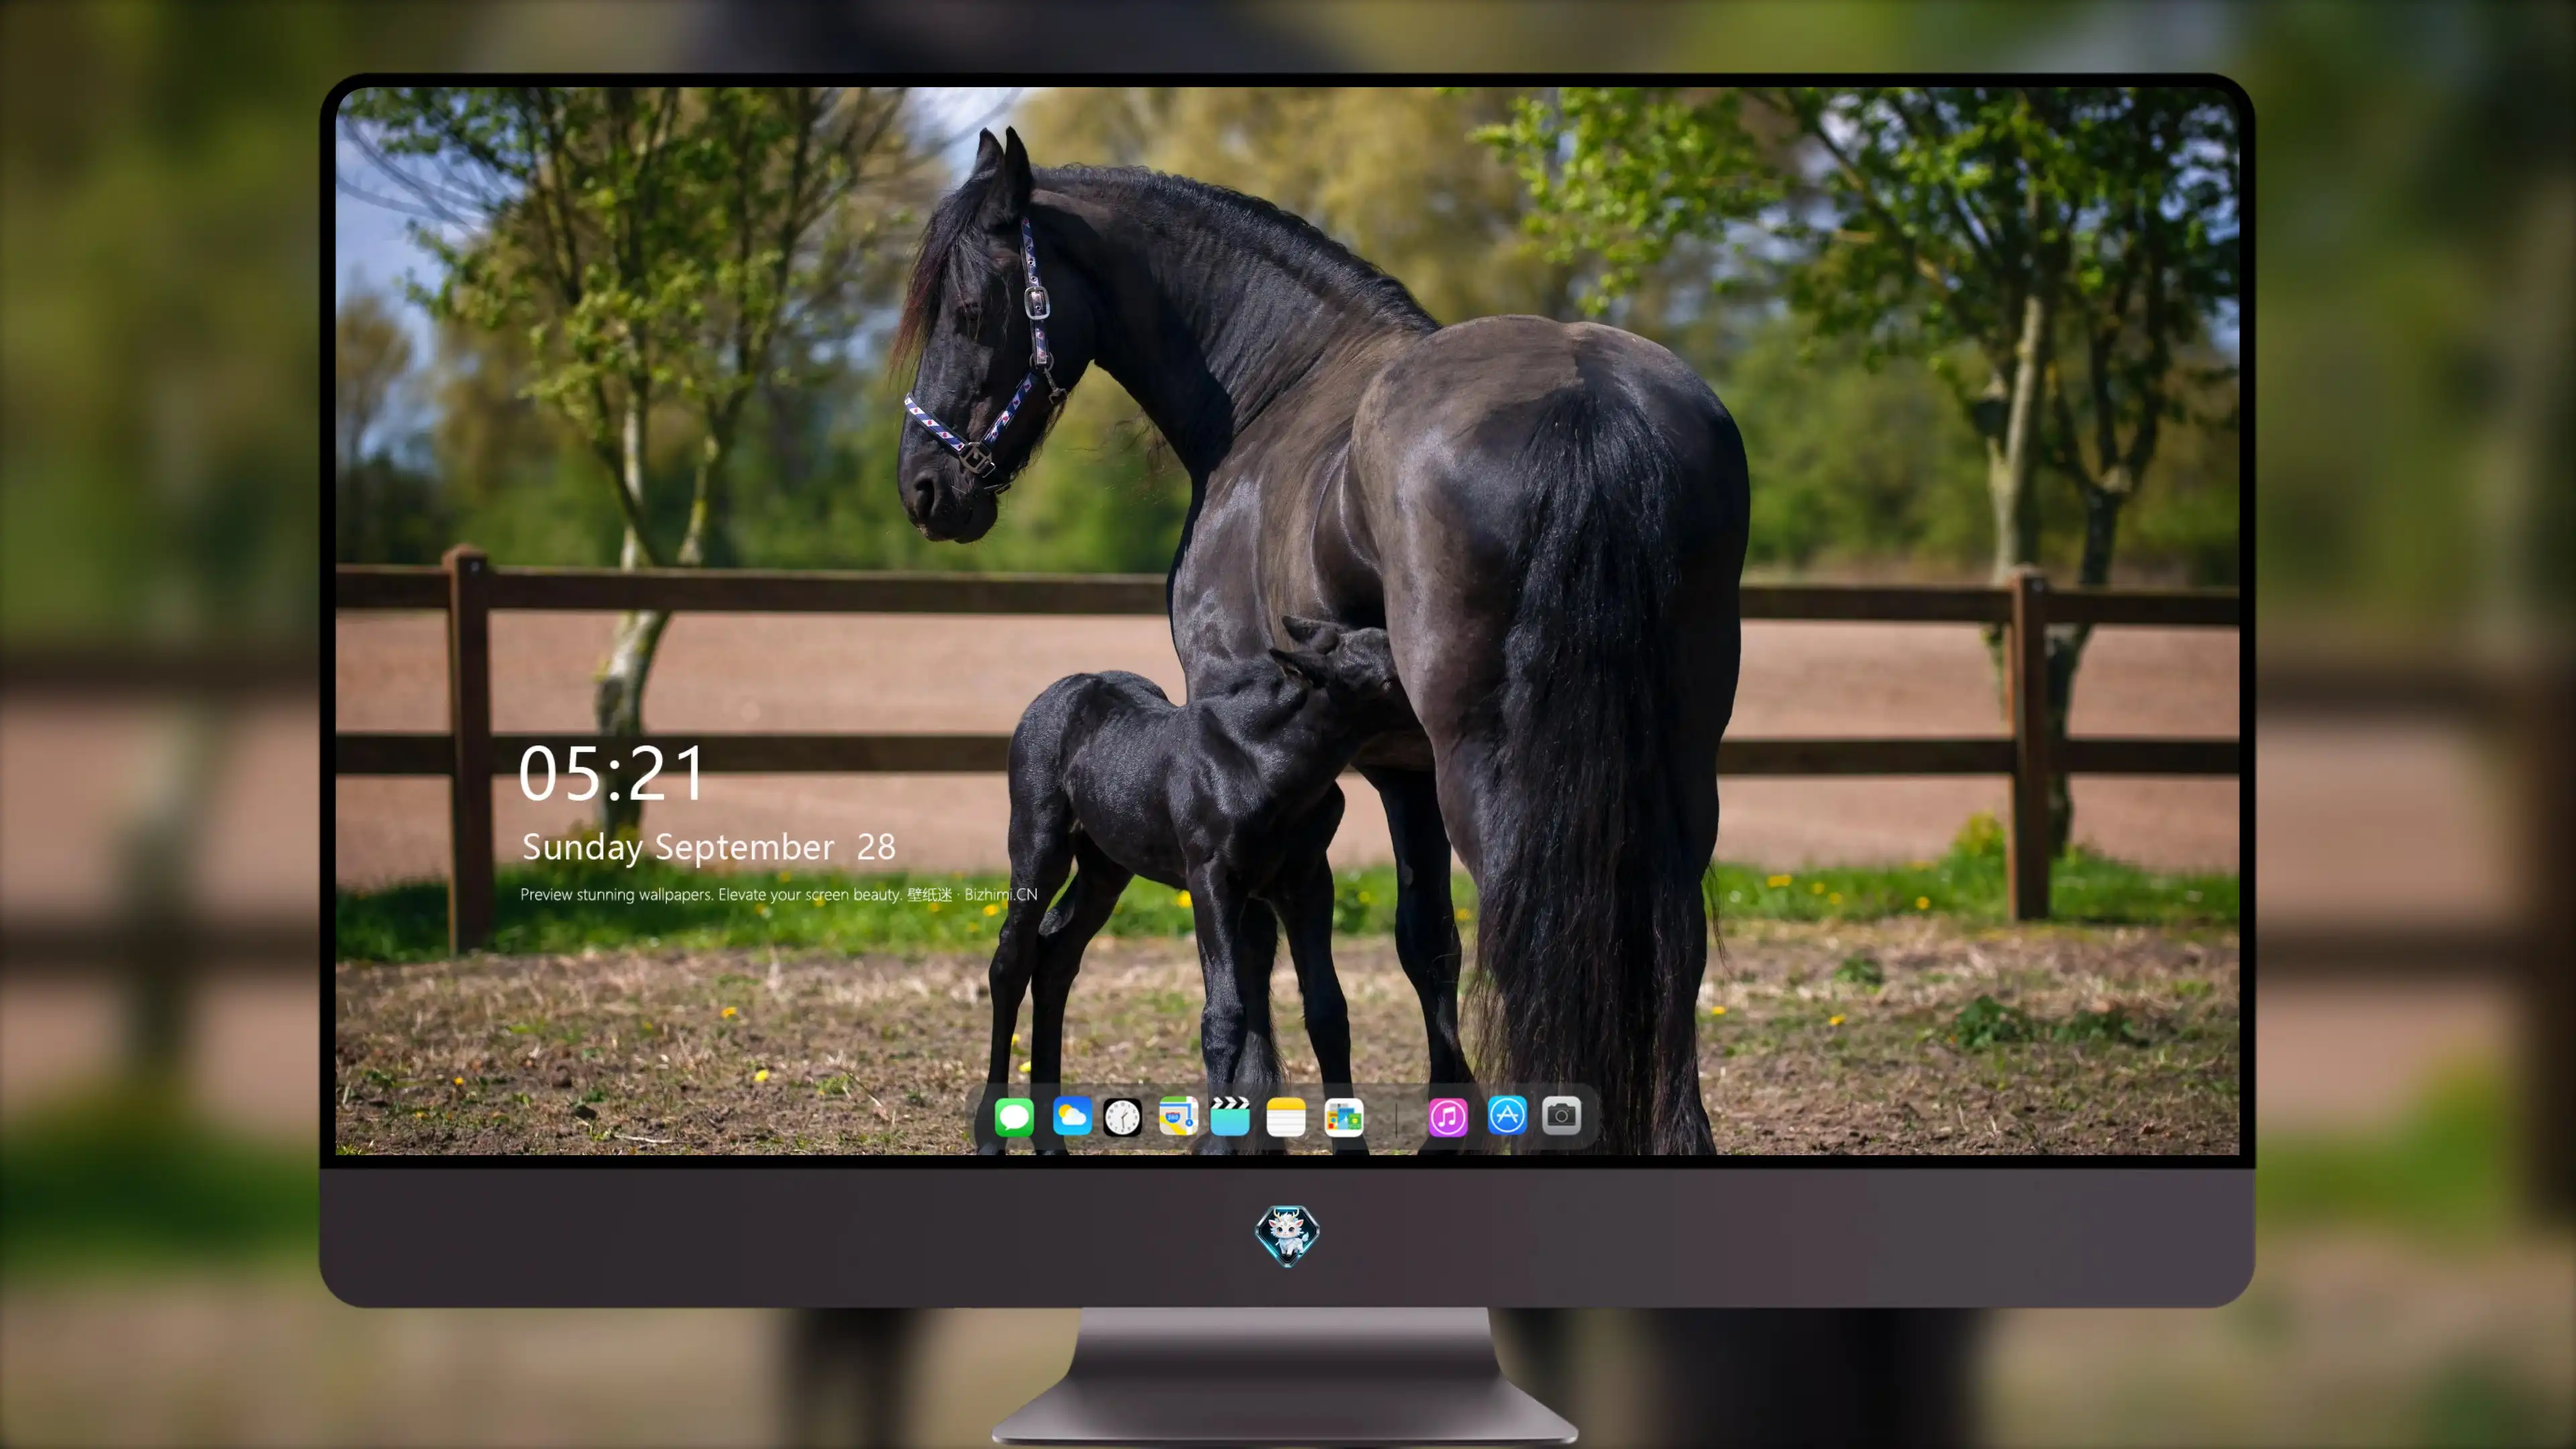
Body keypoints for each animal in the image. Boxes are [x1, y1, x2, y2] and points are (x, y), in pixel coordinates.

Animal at [894, 130, 1748, 1154]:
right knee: (1672, 930)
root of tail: (1588, 399)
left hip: (1494, 760)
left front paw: (1253, 1120)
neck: (1276, 389)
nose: (925, 489)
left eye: (969, 311)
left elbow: (1263, 956)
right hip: (1680, 751)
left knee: (1532, 920)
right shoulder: (1398, 770)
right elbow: (1424, 940)